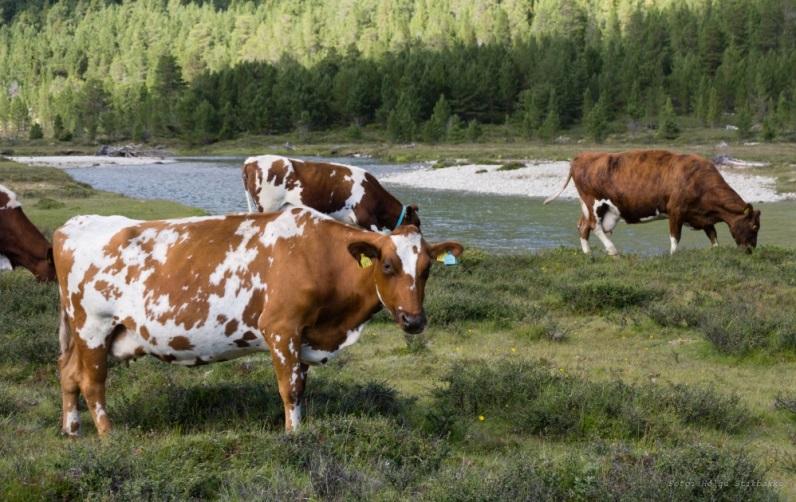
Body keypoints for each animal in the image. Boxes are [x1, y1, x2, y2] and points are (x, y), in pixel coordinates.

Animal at [54, 208, 460, 436]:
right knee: (91, 383)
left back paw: (72, 430)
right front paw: (293, 437)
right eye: (388, 266)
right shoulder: (281, 328)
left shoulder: (303, 336)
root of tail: (73, 225)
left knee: (68, 372)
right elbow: (290, 389)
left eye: (427, 269)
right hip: (93, 326)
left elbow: (302, 387)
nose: (414, 320)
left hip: (97, 332)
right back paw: (109, 436)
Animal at [544, 150, 760, 255]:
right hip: (594, 203)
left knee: (582, 226)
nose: (751, 250)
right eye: (754, 226)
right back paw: (612, 251)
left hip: (595, 207)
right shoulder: (676, 211)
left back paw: (588, 253)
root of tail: (582, 156)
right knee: (593, 226)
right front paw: (673, 256)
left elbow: (713, 235)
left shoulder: (702, 217)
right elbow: (675, 237)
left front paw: (715, 253)